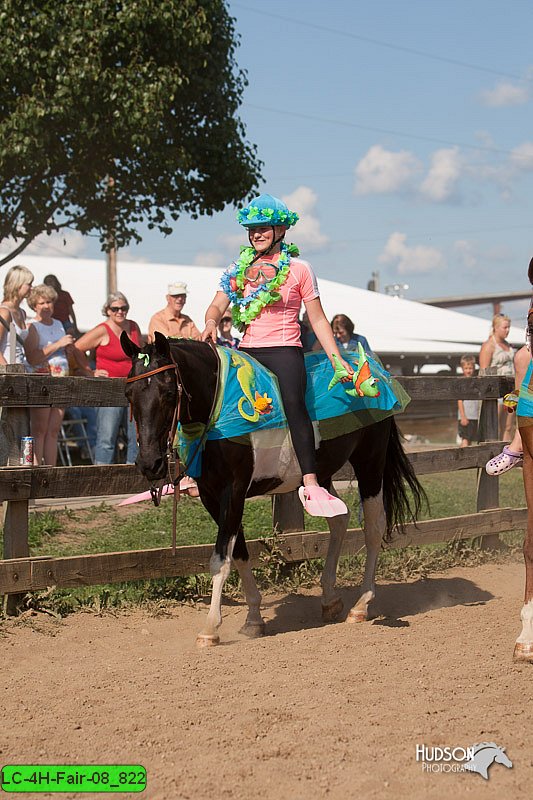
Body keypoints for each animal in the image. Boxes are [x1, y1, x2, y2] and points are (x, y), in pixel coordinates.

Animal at [121, 334, 424, 648]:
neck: (219, 405)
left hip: (370, 463)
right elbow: (239, 553)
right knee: (339, 518)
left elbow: (220, 559)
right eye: (129, 394)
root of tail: (375, 371)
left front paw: (210, 628)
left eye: (169, 392)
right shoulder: (210, 495)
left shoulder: (233, 491)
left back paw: (361, 605)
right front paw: (254, 619)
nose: (150, 463)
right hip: (320, 474)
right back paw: (330, 599)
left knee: (374, 527)